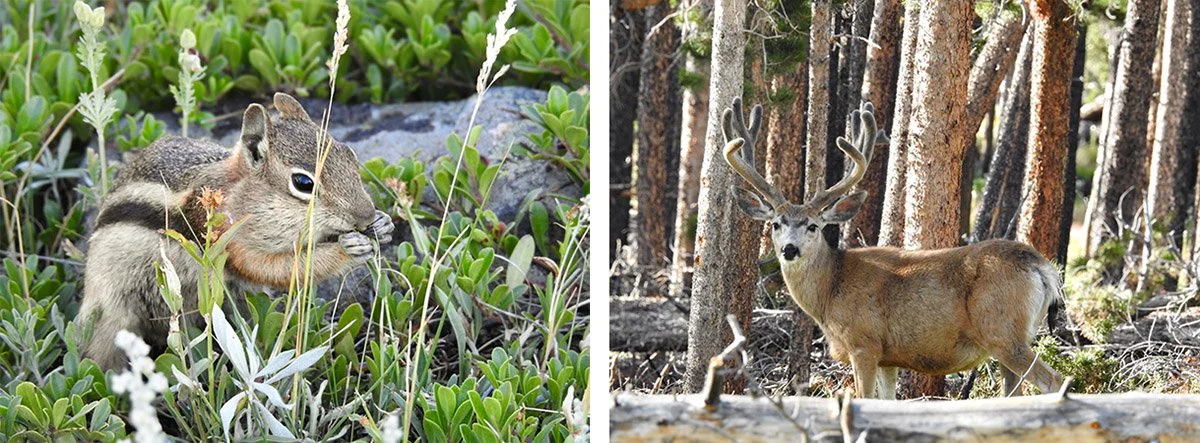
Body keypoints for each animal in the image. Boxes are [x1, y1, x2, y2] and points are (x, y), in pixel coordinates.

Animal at [79, 93, 393, 370]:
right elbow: (275, 268)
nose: (365, 215)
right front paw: (347, 249)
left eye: (349, 154)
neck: (239, 194)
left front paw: (383, 224)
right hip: (113, 314)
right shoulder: (228, 243)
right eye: (303, 183)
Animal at [720, 98, 1063, 399]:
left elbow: (865, 399)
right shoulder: (889, 358)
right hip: (1017, 335)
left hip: (1002, 331)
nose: (789, 250)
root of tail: (1040, 266)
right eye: (776, 224)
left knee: (1054, 381)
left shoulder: (864, 342)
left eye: (813, 226)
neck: (830, 290)